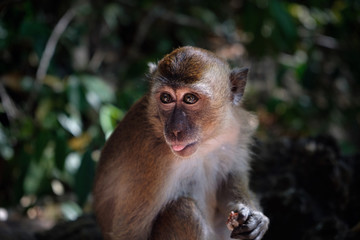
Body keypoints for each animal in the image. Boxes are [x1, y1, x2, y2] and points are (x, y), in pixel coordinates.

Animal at [94, 46, 268, 239]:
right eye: (166, 98)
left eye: (190, 99)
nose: (175, 130)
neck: (203, 145)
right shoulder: (149, 161)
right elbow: (128, 231)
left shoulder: (233, 130)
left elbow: (230, 178)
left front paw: (252, 215)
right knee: (183, 210)